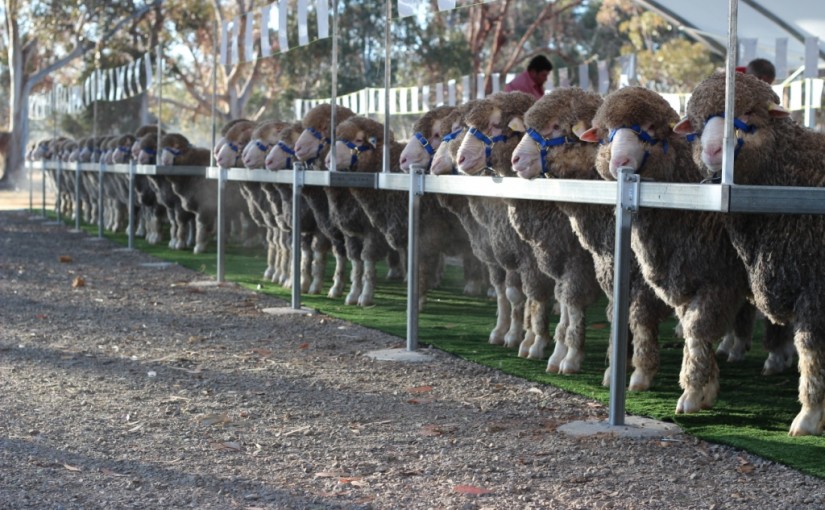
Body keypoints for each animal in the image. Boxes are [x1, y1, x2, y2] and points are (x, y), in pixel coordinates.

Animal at [676, 69, 816, 432]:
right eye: (698, 121)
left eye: (750, 113)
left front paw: (809, 417)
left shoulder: (814, 290)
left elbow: (811, 350)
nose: (713, 150)